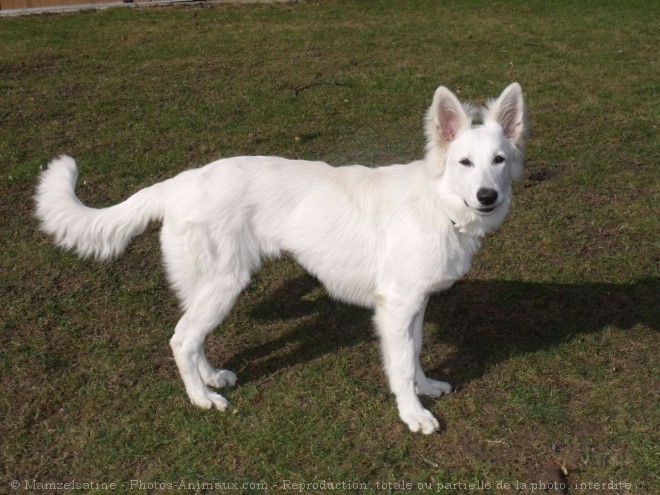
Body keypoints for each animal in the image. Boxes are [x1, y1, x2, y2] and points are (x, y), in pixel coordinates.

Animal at [33, 84, 524, 434]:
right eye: (464, 163)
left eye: (499, 160)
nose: (488, 196)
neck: (440, 204)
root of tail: (179, 182)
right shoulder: (396, 306)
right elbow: (400, 366)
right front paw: (413, 414)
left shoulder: (414, 303)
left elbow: (415, 353)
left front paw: (426, 388)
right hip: (226, 282)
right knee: (180, 340)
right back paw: (201, 399)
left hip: (209, 285)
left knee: (192, 337)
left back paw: (211, 378)